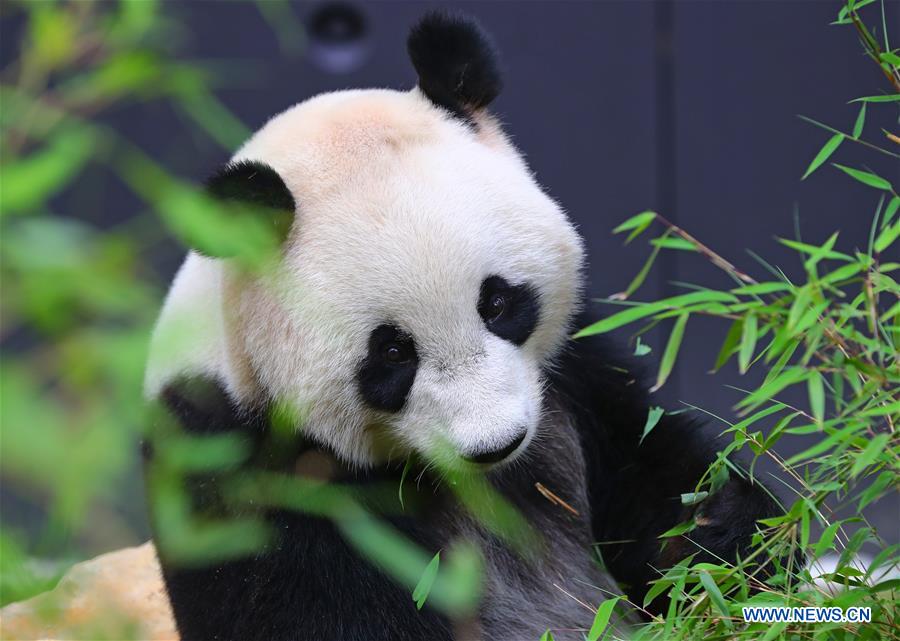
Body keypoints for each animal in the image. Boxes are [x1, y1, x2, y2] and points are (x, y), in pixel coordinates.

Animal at [144, 10, 784, 640]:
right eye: (392, 353)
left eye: (496, 304)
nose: (496, 443)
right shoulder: (241, 465)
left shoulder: (577, 379)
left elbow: (656, 477)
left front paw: (724, 530)